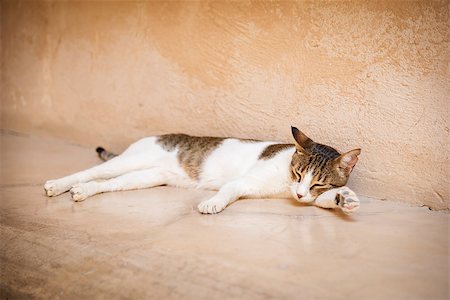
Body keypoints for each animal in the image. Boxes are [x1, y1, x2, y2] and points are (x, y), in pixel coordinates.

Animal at [44, 127, 362, 214]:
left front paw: (344, 199)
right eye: (298, 173)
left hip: (145, 177)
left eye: (318, 184)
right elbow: (228, 190)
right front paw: (212, 203)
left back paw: (83, 192)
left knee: (105, 183)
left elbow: (323, 201)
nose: (299, 194)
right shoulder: (243, 181)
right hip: (131, 160)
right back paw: (58, 184)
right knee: (88, 172)